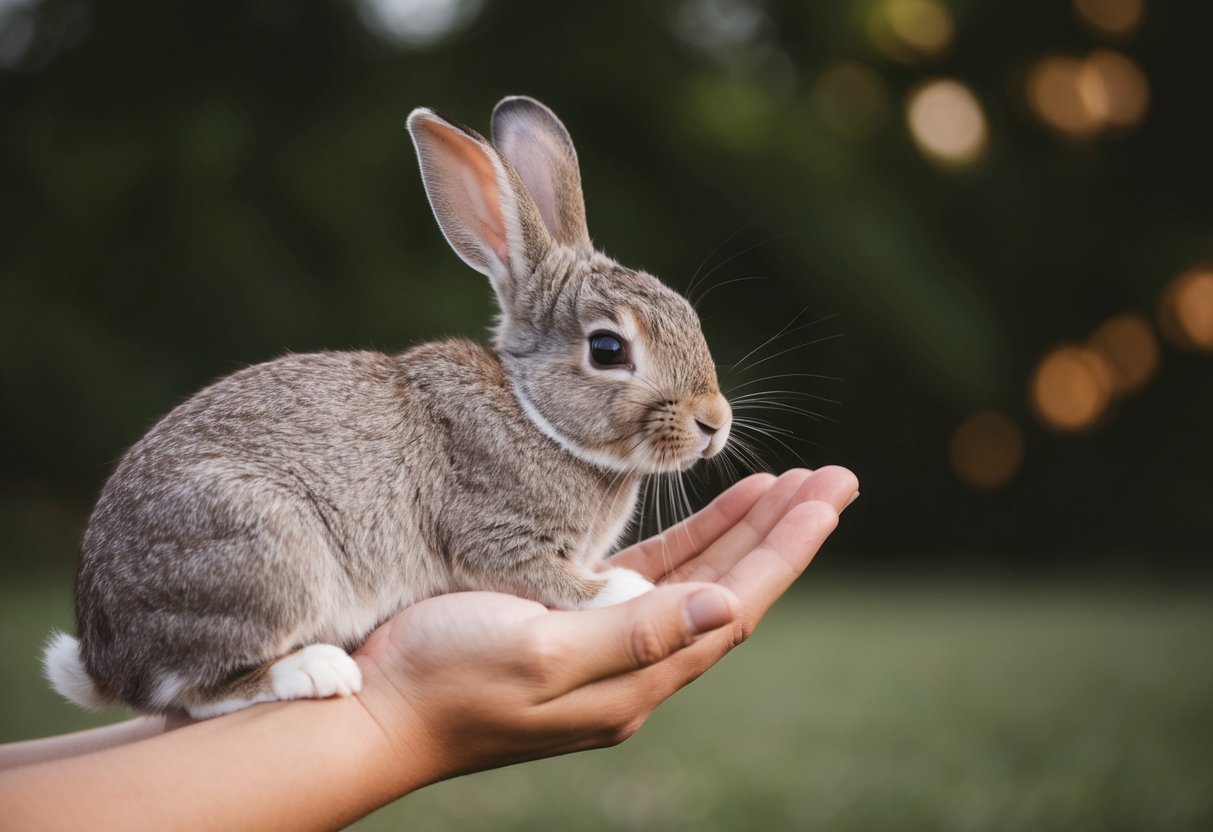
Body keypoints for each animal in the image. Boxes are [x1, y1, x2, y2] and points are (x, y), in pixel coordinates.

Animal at [43, 96, 733, 719]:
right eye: (608, 348)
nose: (713, 422)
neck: (536, 414)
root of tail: (105, 656)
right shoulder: (494, 535)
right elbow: (553, 580)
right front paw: (627, 586)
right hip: (266, 552)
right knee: (192, 692)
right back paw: (314, 670)